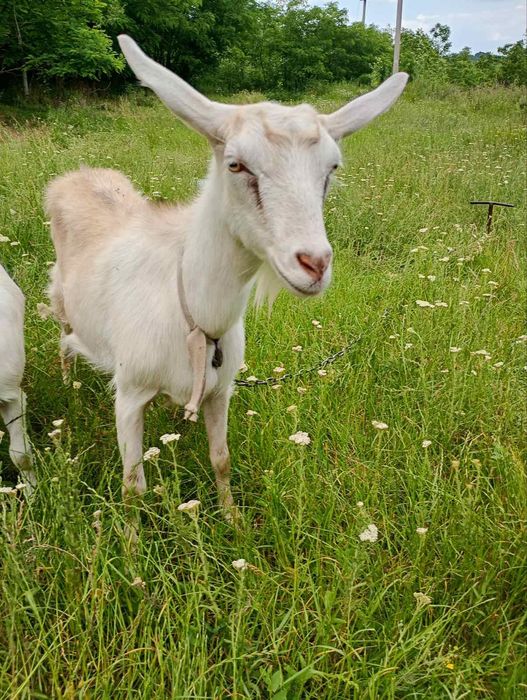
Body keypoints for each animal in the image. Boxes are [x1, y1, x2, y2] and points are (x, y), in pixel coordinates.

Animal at [45, 35, 407, 520]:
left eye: (332, 169)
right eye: (236, 165)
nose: (314, 263)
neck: (192, 313)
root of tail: (77, 175)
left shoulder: (221, 391)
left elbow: (221, 459)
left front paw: (234, 520)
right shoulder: (130, 393)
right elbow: (133, 486)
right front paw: (132, 536)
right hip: (62, 301)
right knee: (64, 342)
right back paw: (69, 386)